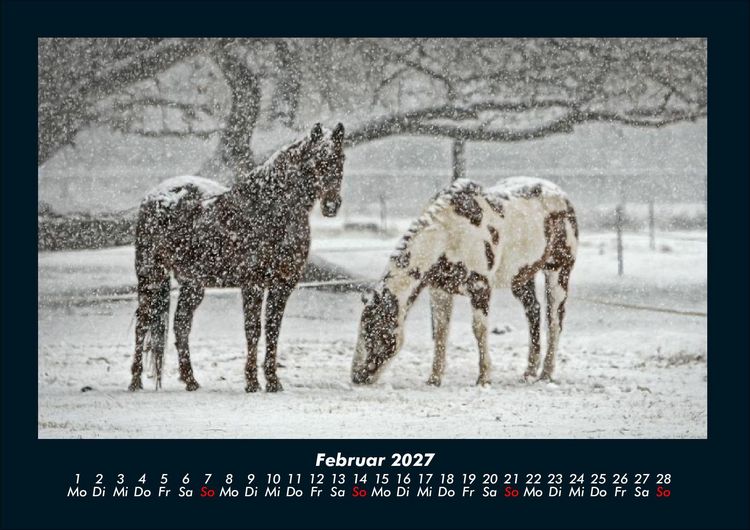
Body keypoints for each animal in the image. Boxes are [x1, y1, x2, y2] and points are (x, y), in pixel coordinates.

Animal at [129, 122, 345, 393]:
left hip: (192, 284)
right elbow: (253, 330)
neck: (271, 210)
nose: (331, 205)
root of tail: (155, 196)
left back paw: (191, 380)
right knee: (143, 322)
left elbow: (273, 330)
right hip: (151, 275)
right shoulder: (253, 284)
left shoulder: (282, 285)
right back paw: (135, 381)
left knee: (181, 325)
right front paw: (252, 381)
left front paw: (273, 381)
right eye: (316, 160)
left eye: (340, 158)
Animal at [351, 177, 578, 387]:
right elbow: (441, 332)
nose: (357, 377)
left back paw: (546, 374)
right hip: (521, 278)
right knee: (534, 312)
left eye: (375, 331)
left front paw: (484, 378)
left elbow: (479, 330)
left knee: (554, 320)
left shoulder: (480, 288)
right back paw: (529, 372)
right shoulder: (440, 290)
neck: (448, 234)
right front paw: (434, 379)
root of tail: (562, 195)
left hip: (558, 272)